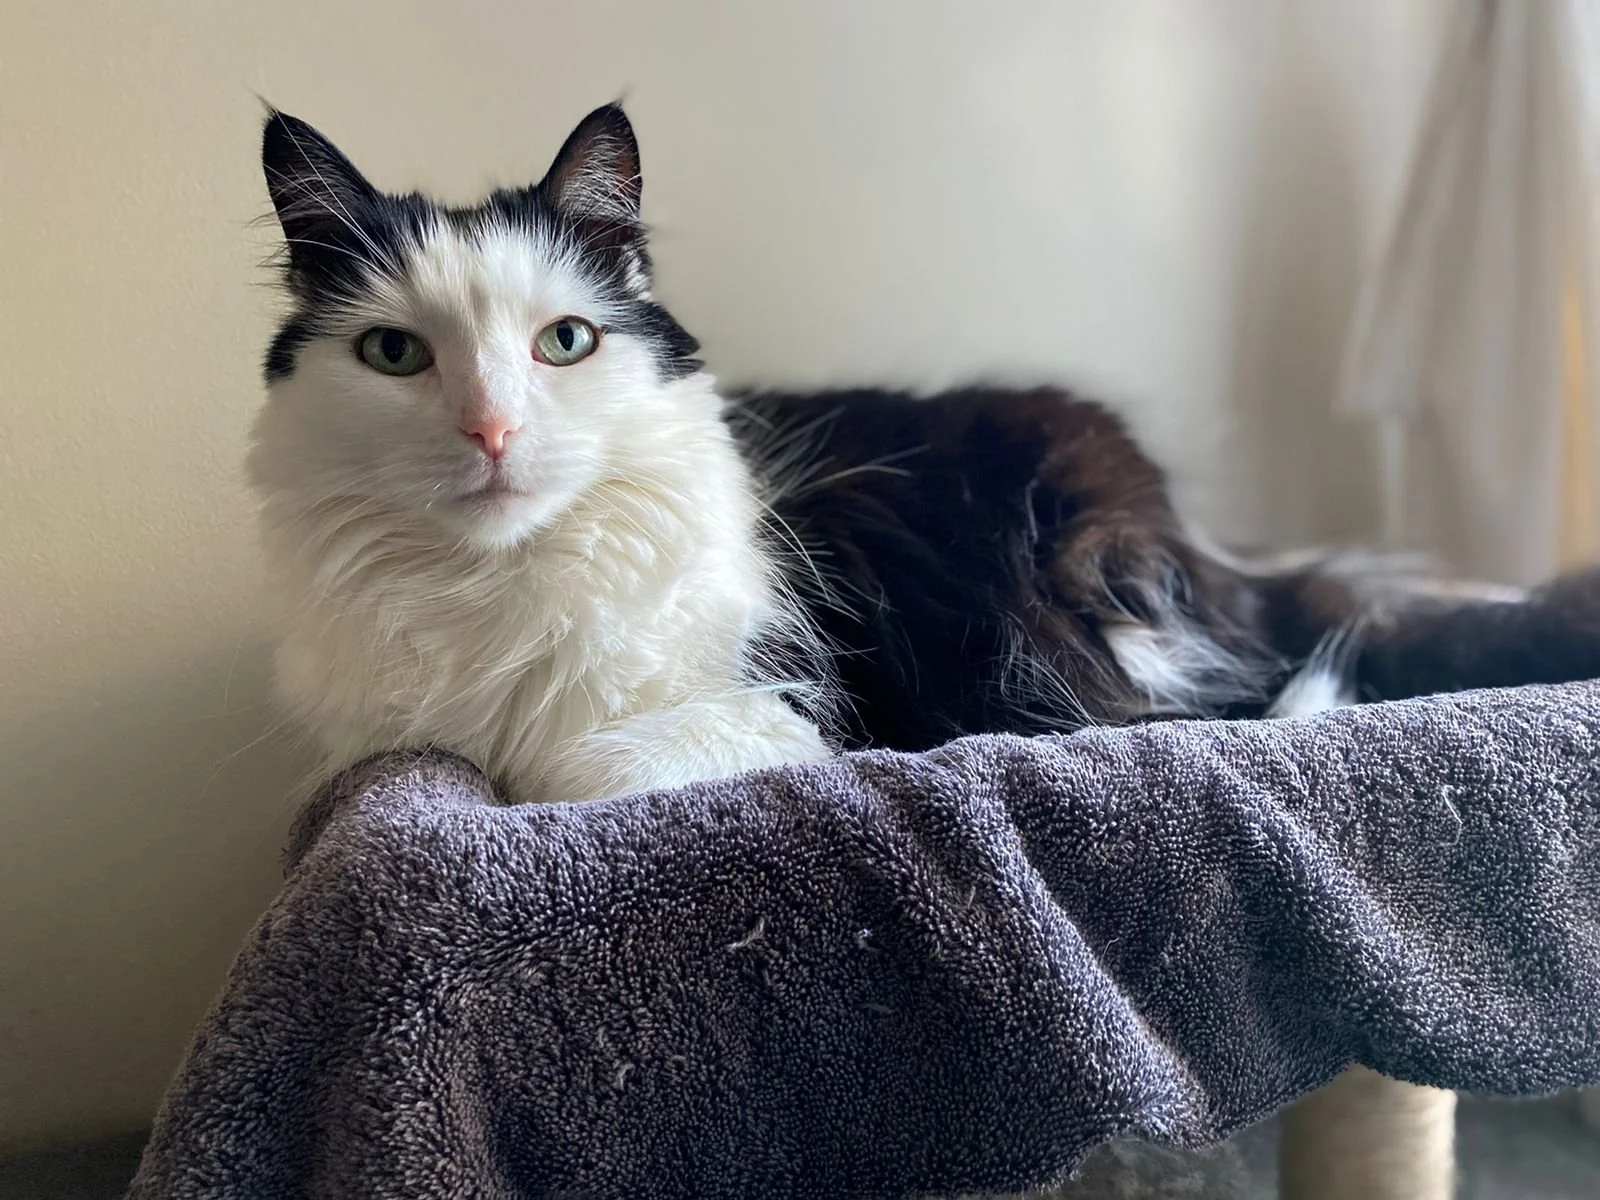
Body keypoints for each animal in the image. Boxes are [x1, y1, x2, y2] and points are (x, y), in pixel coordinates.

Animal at [252, 101, 1600, 1200]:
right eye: (393, 354)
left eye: (564, 342)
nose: (490, 433)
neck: (505, 583)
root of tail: (1209, 552)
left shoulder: (796, 701)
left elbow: (575, 761)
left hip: (1069, 617)